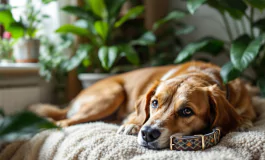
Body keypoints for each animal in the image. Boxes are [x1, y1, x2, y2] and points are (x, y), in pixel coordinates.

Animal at [29, 61, 255, 149]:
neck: (200, 74)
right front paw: (132, 125)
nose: (147, 134)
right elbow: (136, 117)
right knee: (62, 122)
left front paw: (243, 122)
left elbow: (245, 117)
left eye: (186, 111)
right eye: (154, 102)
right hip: (110, 96)